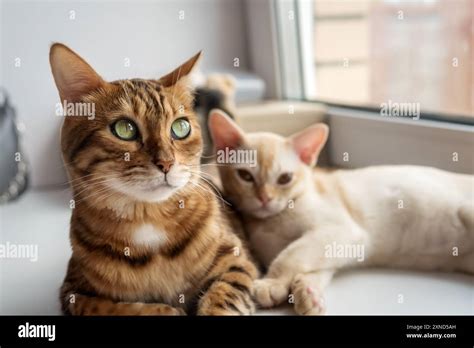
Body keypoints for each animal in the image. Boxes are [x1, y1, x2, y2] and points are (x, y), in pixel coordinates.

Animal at [49, 42, 258, 316]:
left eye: (181, 127)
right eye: (124, 129)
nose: (166, 163)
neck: (147, 220)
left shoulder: (237, 259)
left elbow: (225, 295)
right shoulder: (73, 293)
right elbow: (110, 307)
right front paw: (167, 311)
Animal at [208, 109, 474, 316]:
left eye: (284, 178)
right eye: (245, 176)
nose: (265, 199)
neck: (270, 223)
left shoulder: (342, 231)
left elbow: (291, 255)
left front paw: (272, 283)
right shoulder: (338, 248)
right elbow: (312, 267)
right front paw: (308, 294)